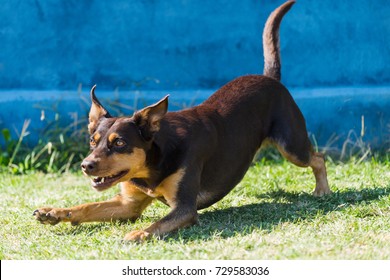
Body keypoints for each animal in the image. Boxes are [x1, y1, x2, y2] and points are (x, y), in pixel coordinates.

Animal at [35, 0, 330, 242]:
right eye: (92, 142)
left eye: (119, 143)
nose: (86, 165)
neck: (152, 165)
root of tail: (270, 77)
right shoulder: (127, 205)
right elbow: (86, 207)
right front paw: (54, 212)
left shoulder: (185, 208)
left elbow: (155, 225)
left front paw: (137, 234)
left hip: (291, 147)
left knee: (318, 158)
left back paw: (322, 190)